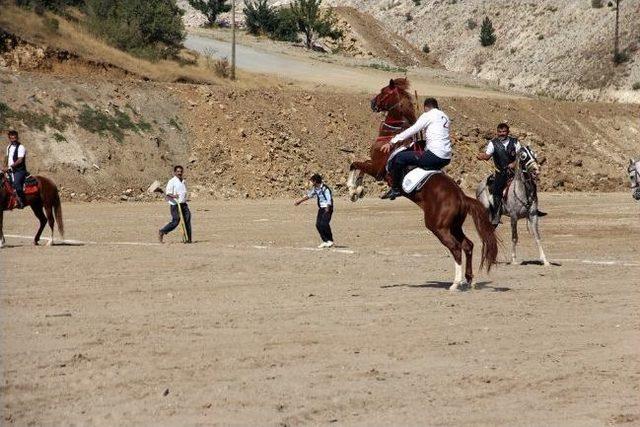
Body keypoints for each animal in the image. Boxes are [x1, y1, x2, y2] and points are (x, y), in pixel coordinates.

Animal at [348, 78, 498, 290]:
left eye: (384, 92)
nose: (372, 103)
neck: (392, 139)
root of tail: (462, 197)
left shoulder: (376, 169)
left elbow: (355, 164)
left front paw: (352, 188)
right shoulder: (373, 166)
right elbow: (358, 167)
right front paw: (357, 190)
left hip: (438, 227)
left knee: (456, 248)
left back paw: (455, 283)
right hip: (454, 226)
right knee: (468, 245)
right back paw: (469, 279)